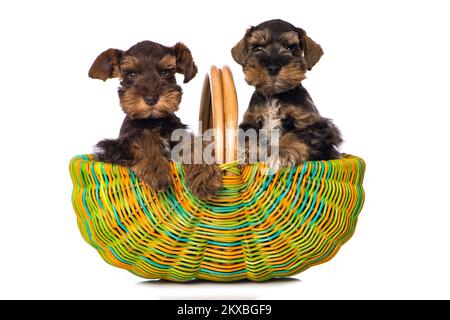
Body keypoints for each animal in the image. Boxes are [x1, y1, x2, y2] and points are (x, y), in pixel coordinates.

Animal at [88, 40, 221, 198]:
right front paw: (155, 171)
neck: (153, 120)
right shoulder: (115, 147)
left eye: (164, 72)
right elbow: (142, 137)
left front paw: (205, 175)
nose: (151, 99)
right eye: (131, 74)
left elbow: (194, 142)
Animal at [232, 18, 342, 169]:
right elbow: (249, 136)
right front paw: (246, 153)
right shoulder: (250, 120)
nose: (273, 67)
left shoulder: (312, 125)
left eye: (291, 48)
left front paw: (282, 153)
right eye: (257, 48)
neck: (275, 95)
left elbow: (293, 134)